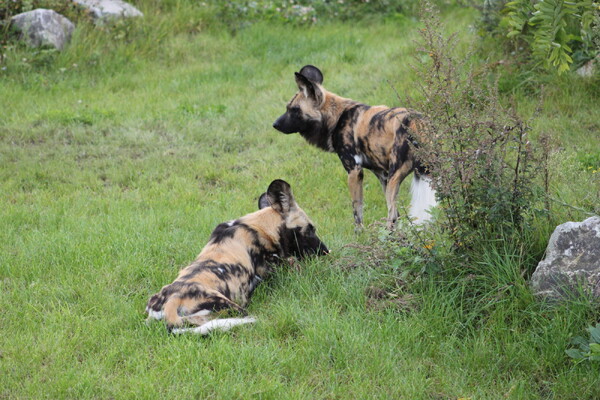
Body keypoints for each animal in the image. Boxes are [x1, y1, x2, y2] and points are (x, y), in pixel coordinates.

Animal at [274, 64, 436, 230]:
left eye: (294, 109)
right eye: (288, 108)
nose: (275, 124)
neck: (335, 117)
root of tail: (418, 123)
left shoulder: (354, 171)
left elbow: (357, 210)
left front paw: (360, 233)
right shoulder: (381, 174)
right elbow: (396, 212)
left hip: (395, 176)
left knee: (391, 213)